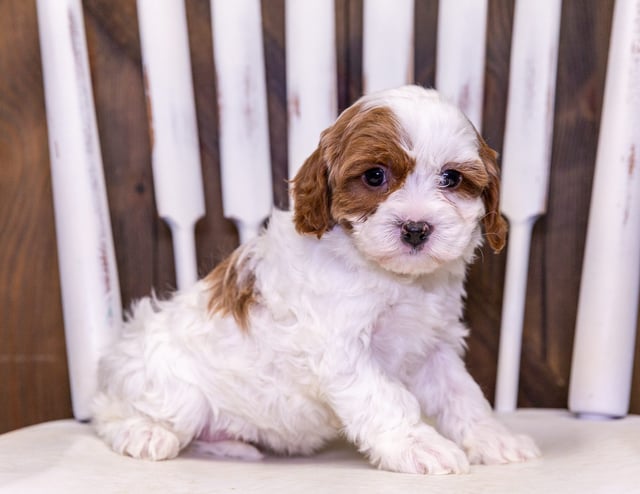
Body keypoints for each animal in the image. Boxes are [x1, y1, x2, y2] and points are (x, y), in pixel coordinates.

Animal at [91, 86, 540, 474]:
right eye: (375, 176)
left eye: (451, 179)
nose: (416, 228)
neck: (394, 278)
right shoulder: (342, 351)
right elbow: (386, 399)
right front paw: (420, 446)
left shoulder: (434, 348)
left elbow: (463, 396)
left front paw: (494, 439)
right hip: (172, 389)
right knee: (111, 413)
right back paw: (145, 432)